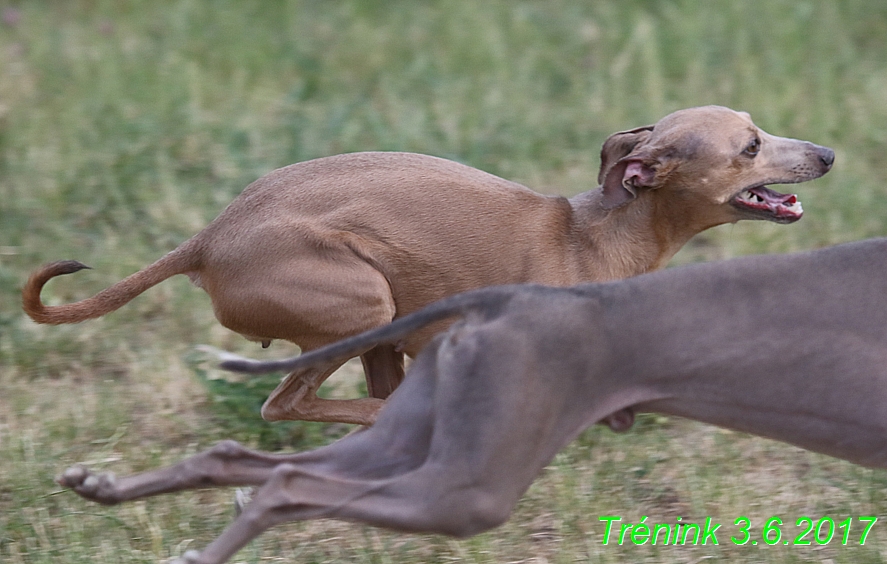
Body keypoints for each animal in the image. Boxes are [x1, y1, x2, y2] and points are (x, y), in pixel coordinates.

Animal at [24, 104, 836, 424]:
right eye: (750, 146)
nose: (828, 153)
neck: (597, 236)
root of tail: (207, 237)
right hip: (360, 304)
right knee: (287, 404)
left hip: (379, 328)